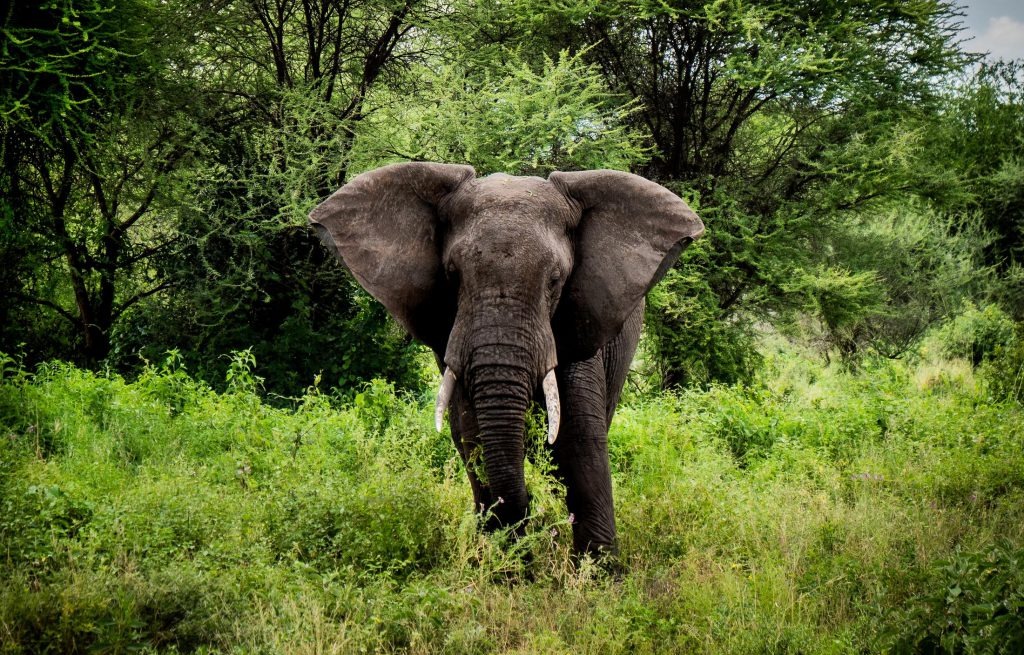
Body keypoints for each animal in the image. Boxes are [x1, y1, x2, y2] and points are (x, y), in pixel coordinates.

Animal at [309, 163, 703, 560]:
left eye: (556, 280)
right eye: (452, 275)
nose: (529, 509)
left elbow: (578, 440)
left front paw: (601, 568)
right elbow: (473, 434)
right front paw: (509, 561)